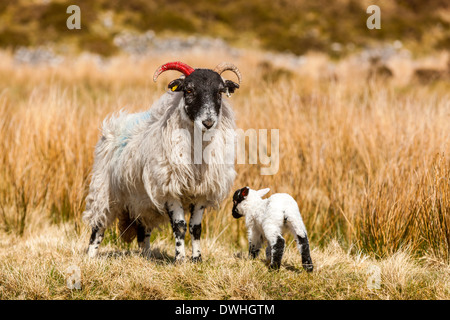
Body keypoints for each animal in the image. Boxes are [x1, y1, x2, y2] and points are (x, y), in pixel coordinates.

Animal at [82, 60, 241, 262]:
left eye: (220, 92)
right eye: (189, 90)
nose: (208, 122)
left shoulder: (202, 192)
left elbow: (196, 228)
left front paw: (197, 259)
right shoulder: (169, 189)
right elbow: (180, 226)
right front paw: (180, 259)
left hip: (142, 202)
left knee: (143, 231)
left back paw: (146, 256)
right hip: (104, 190)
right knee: (98, 226)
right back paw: (90, 257)